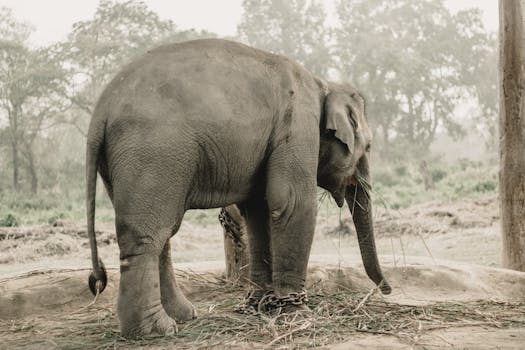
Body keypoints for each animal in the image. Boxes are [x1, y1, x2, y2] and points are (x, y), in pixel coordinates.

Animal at [85, 38, 388, 340]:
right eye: (369, 146)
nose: (386, 290)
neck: (324, 83)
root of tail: (101, 108)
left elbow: (258, 210)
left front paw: (261, 304)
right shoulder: (299, 125)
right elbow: (292, 203)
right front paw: (297, 313)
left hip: (125, 163)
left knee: (161, 235)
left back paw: (182, 316)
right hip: (153, 151)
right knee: (147, 236)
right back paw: (155, 330)